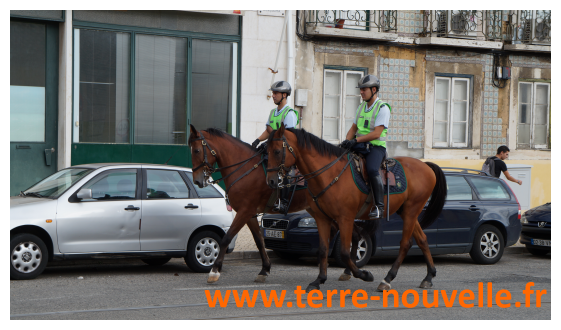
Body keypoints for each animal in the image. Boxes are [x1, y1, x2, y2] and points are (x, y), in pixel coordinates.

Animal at [188, 125, 372, 284]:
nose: (196, 181)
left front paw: (214, 271)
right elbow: (259, 240)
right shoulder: (250, 214)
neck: (245, 168)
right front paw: (264, 270)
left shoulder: (245, 211)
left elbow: (226, 238)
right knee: (354, 235)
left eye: (196, 150)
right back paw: (346, 271)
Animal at [266, 124, 446, 292]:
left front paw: (364, 274)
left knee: (405, 244)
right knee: (422, 239)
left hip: (411, 211)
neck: (329, 174)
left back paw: (387, 279)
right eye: (266, 151)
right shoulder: (322, 218)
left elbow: (345, 252)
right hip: (407, 212)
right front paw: (318, 280)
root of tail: (426, 166)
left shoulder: (345, 218)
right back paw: (429, 276)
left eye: (276, 151)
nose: (272, 181)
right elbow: (323, 250)